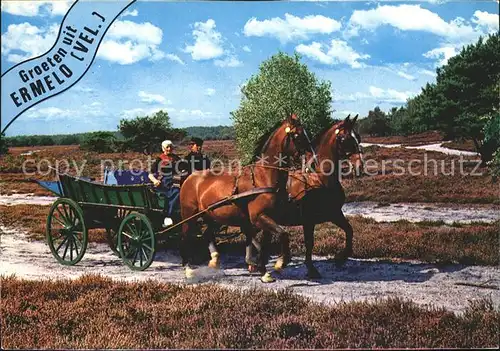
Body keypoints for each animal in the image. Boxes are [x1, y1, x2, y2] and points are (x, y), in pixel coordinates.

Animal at [178, 115, 310, 284]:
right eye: (297, 135)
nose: (311, 159)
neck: (263, 176)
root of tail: (190, 177)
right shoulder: (258, 217)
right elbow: (283, 234)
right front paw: (280, 263)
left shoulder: (267, 217)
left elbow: (266, 243)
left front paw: (263, 270)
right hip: (189, 215)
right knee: (185, 237)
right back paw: (188, 269)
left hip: (213, 216)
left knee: (207, 234)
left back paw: (214, 260)